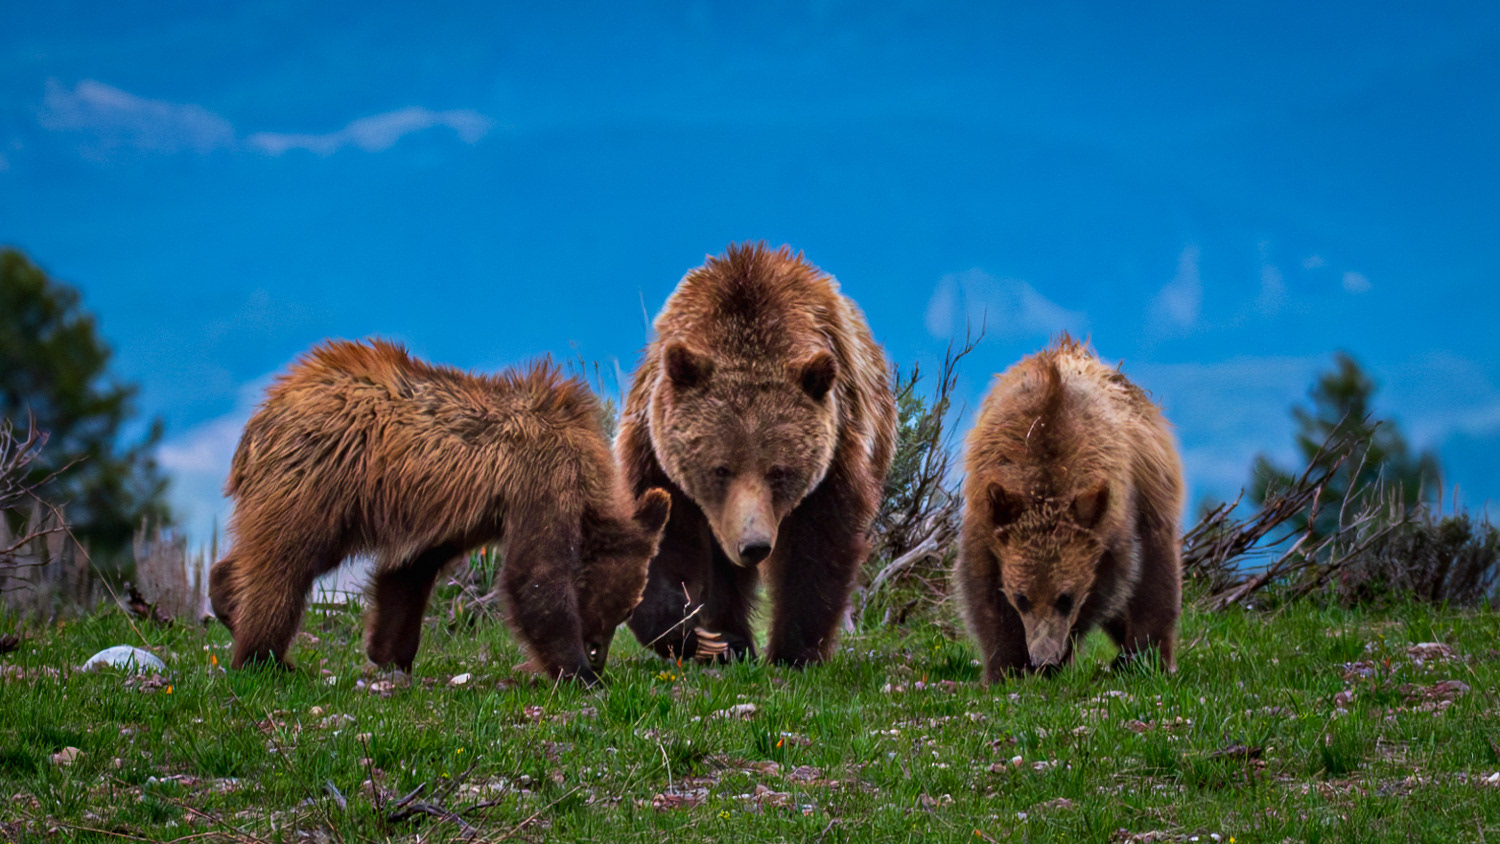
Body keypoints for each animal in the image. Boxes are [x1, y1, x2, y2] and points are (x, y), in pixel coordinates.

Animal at [207, 339, 671, 684]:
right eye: (624, 611)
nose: (597, 658)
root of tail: (263, 418)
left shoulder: (464, 513)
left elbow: (409, 572)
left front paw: (389, 652)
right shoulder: (540, 482)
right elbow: (536, 575)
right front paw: (578, 674)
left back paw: (226, 595)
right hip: (321, 477)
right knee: (287, 561)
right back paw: (266, 657)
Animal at [617, 243, 896, 666]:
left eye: (779, 471)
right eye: (720, 469)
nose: (754, 545)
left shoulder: (838, 447)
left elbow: (817, 546)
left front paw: (794, 651)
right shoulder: (655, 446)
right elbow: (662, 531)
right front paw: (687, 634)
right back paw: (727, 642)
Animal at [955, 335, 1184, 682]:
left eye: (1065, 598)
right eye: (1022, 598)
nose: (1043, 659)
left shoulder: (1110, 524)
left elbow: (1108, 588)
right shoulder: (988, 515)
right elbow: (984, 592)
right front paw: (1005, 667)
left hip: (1152, 493)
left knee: (1155, 577)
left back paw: (1147, 658)